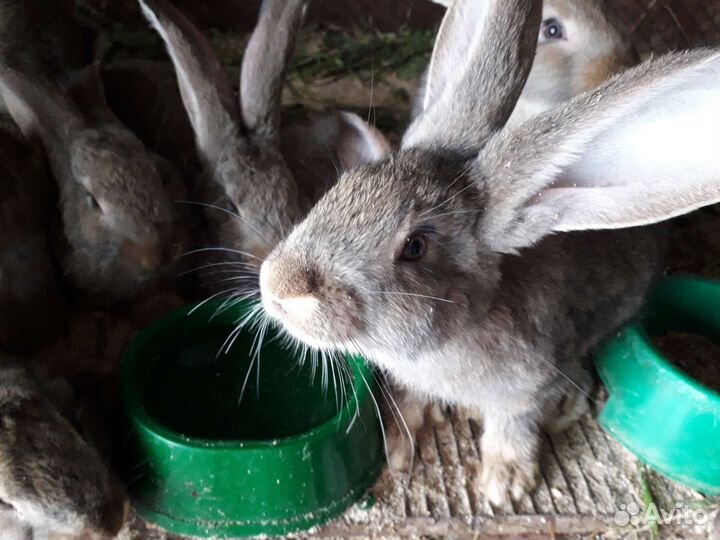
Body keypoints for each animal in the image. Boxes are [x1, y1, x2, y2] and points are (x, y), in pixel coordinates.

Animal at [258, 0, 720, 507]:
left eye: (415, 247)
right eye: (342, 187)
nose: (279, 287)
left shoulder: (524, 387)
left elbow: (512, 423)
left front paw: (505, 483)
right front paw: (401, 442)